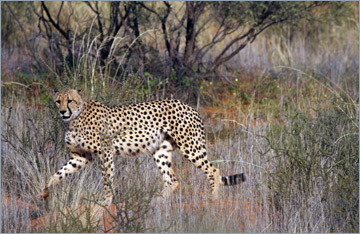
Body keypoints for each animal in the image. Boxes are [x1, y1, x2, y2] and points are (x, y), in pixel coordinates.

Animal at [41, 88, 245, 204]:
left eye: (70, 100)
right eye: (58, 101)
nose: (62, 111)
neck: (74, 118)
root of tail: (189, 106)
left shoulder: (105, 152)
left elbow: (107, 180)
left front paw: (105, 202)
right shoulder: (80, 156)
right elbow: (59, 173)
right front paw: (45, 192)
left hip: (190, 147)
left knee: (214, 171)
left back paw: (213, 200)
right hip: (161, 151)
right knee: (172, 179)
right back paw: (157, 203)